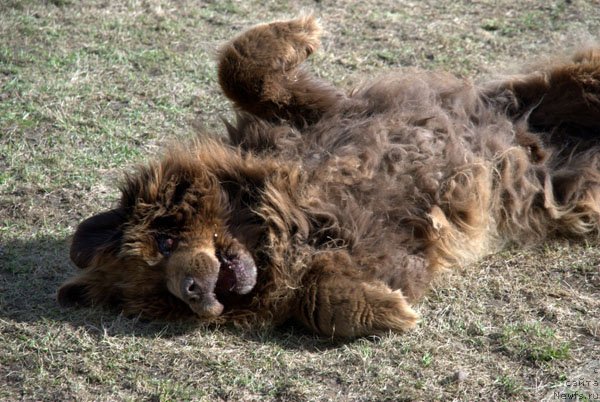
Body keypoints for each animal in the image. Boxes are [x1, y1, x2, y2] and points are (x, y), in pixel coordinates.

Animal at [57, 16, 600, 336]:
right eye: (163, 293)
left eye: (165, 244)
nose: (191, 290)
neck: (293, 214)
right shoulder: (395, 247)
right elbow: (319, 295)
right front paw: (388, 309)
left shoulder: (315, 115)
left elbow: (241, 68)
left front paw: (301, 31)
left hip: (558, 89)